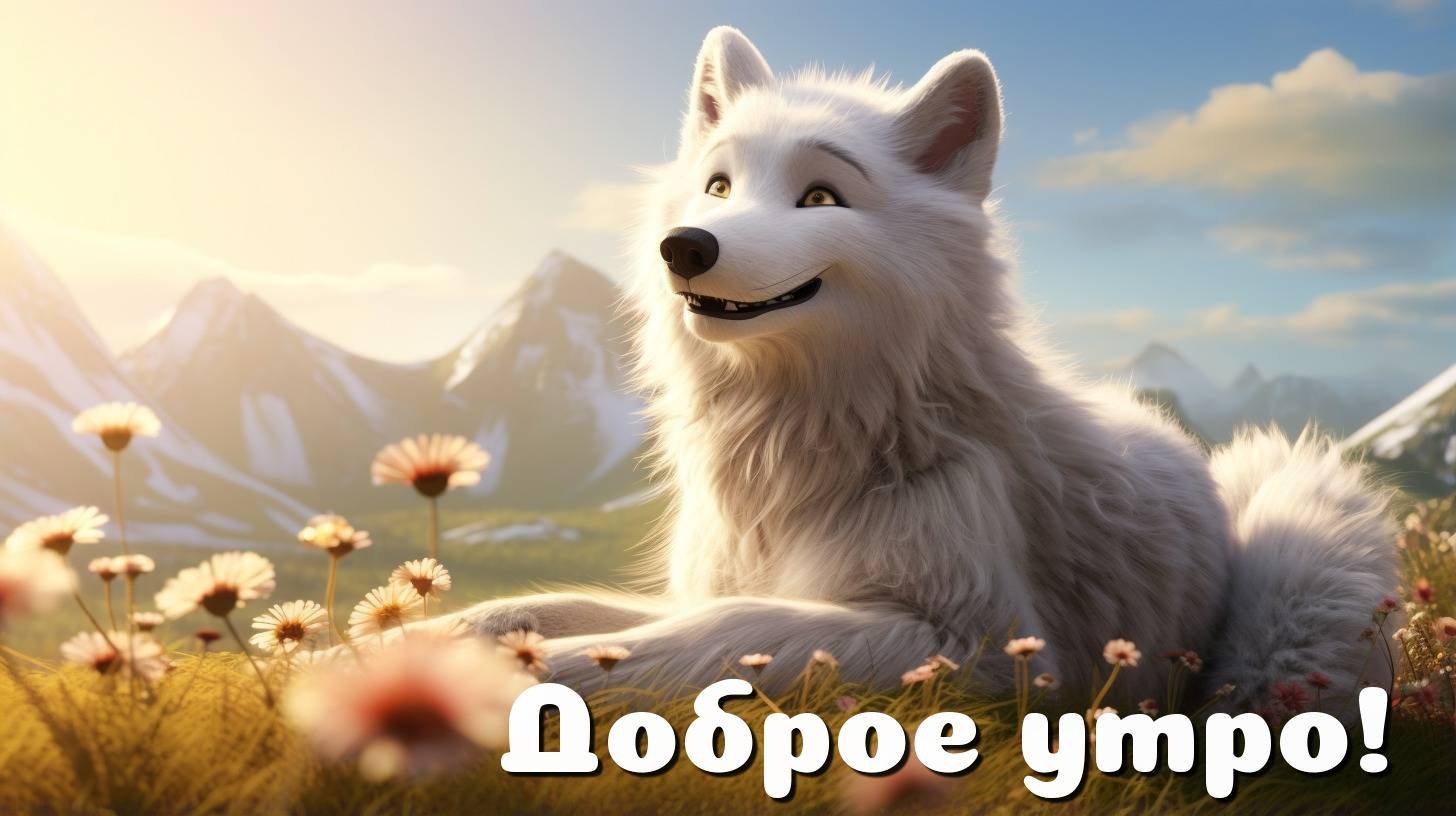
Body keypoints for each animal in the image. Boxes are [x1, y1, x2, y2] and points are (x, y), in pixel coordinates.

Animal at [458, 27, 1397, 712]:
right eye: (718, 186)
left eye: (821, 197)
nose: (682, 248)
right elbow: (554, 605)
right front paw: (448, 636)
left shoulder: (982, 648)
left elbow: (725, 630)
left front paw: (522, 675)